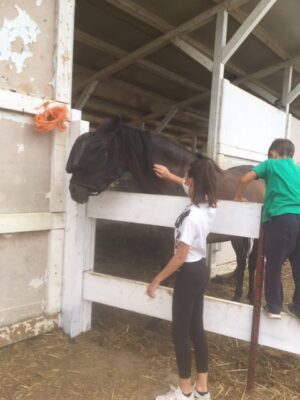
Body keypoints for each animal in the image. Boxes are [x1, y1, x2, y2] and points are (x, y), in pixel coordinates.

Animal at [67, 117, 264, 302]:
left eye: (99, 151)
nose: (73, 190)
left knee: (252, 262)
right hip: (237, 237)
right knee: (242, 260)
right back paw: (237, 296)